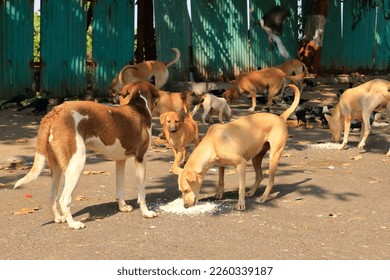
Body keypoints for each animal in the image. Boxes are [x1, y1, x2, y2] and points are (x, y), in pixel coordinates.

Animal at [14, 81, 160, 230]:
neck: (139, 106)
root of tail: (55, 112)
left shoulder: (120, 160)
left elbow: (120, 187)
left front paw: (123, 207)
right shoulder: (141, 158)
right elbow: (142, 193)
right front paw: (146, 212)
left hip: (56, 168)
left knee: (52, 195)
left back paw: (58, 218)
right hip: (76, 164)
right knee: (64, 199)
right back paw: (73, 224)